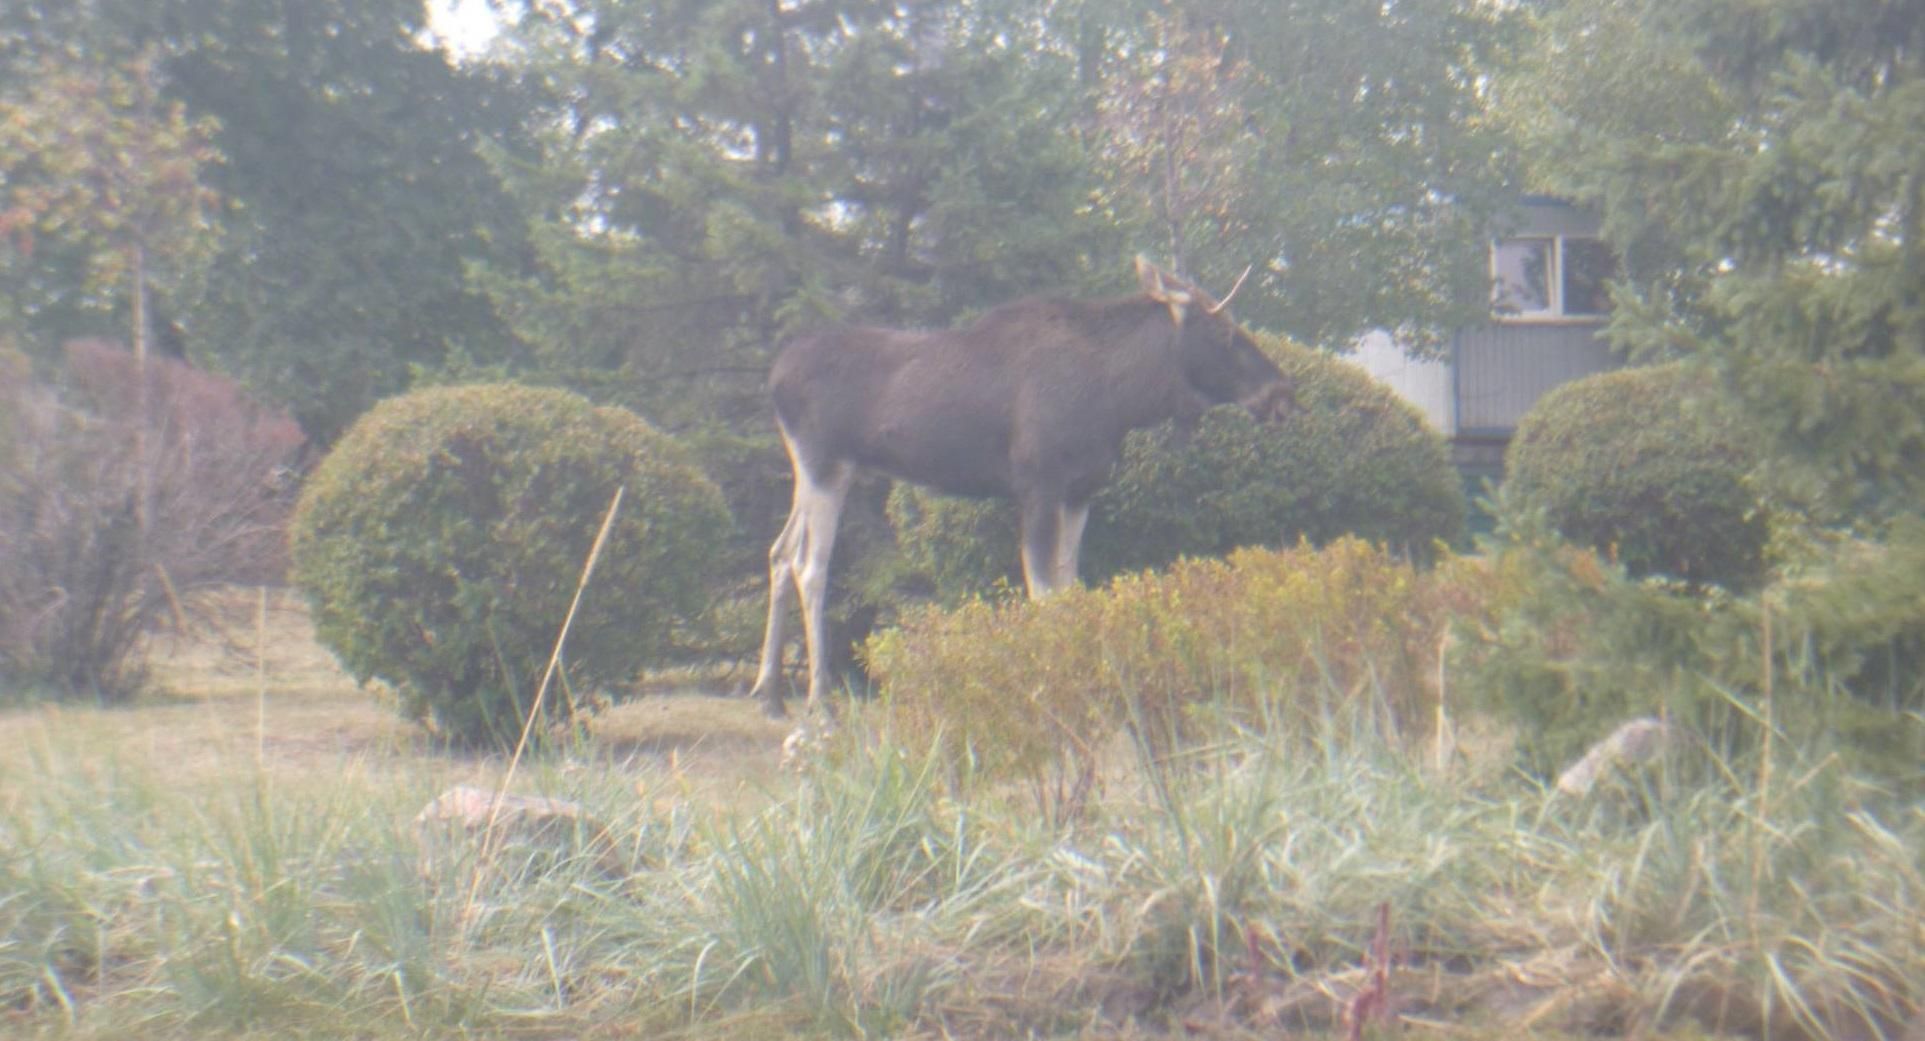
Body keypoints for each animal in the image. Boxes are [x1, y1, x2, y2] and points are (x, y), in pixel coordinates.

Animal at [750, 255, 1293, 719]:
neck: (1122, 396)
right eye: (1224, 330)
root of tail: (773, 377)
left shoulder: (1080, 492)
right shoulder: (1039, 485)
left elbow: (1071, 586)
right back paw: (819, 701)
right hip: (824, 462)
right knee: (810, 566)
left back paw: (770, 694)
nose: (1281, 394)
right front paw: (1050, 681)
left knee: (780, 550)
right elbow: (1043, 591)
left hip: (819, 471)